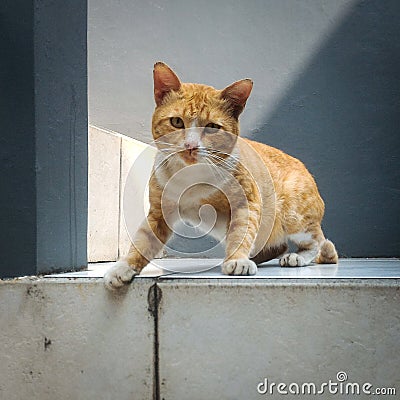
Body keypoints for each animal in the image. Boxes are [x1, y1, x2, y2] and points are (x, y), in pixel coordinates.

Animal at [104, 61, 338, 288]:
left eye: (212, 127)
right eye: (177, 122)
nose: (190, 146)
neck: (190, 176)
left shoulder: (246, 202)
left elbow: (241, 232)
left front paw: (237, 260)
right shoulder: (159, 213)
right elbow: (143, 241)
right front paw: (122, 267)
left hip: (294, 217)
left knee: (320, 242)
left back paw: (297, 257)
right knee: (278, 246)